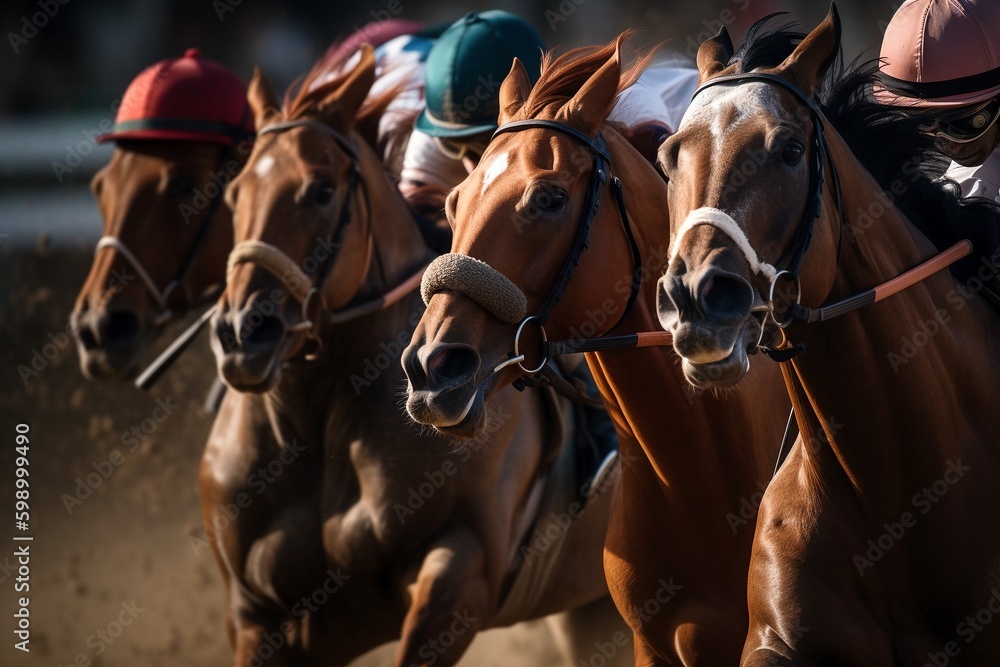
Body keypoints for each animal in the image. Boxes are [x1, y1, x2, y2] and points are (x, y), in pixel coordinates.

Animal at [206, 44, 627, 666]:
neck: (321, 417)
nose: (241, 331)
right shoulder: (256, 617)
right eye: (235, 195)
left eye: (321, 190)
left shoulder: (459, 573)